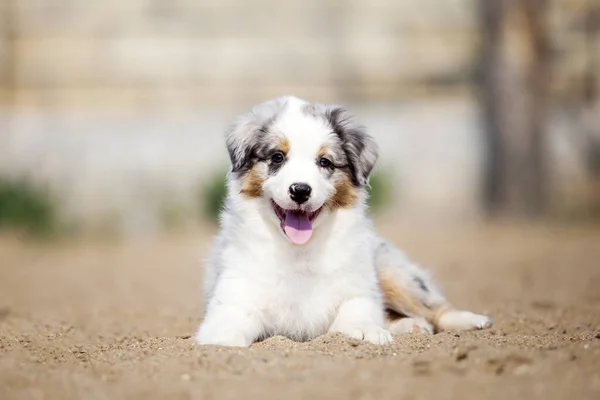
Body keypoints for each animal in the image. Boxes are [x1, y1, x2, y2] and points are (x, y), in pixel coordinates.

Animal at [196, 95, 492, 346]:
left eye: (325, 162)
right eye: (277, 157)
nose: (300, 190)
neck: (299, 250)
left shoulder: (358, 286)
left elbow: (356, 309)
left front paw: (366, 330)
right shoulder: (235, 293)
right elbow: (229, 321)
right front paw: (222, 338)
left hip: (392, 272)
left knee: (433, 307)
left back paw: (470, 320)